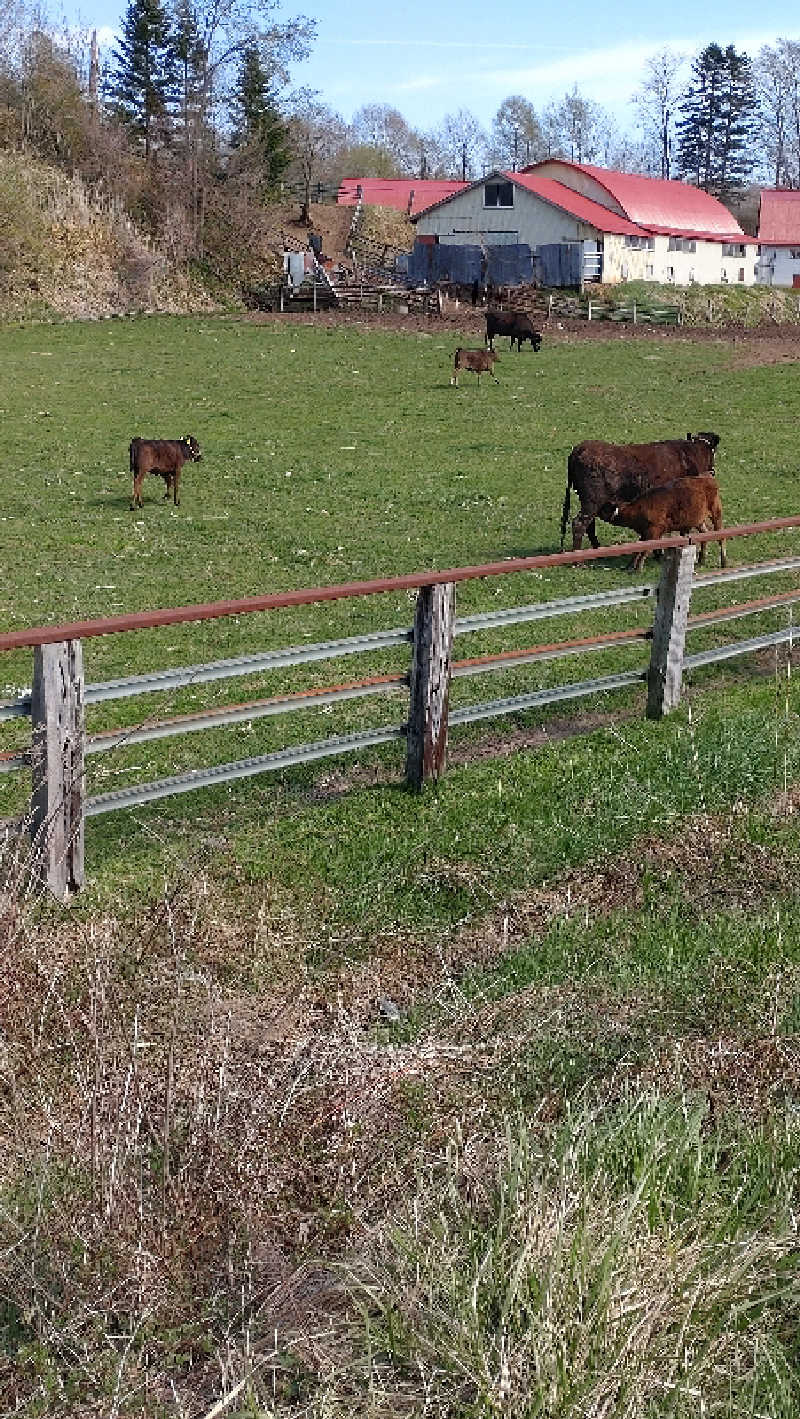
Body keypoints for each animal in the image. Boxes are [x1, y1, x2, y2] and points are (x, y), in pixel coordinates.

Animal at [558, 428, 720, 550]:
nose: (712, 471)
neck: (689, 455)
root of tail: (580, 448)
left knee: (589, 524)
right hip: (592, 501)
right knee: (580, 523)